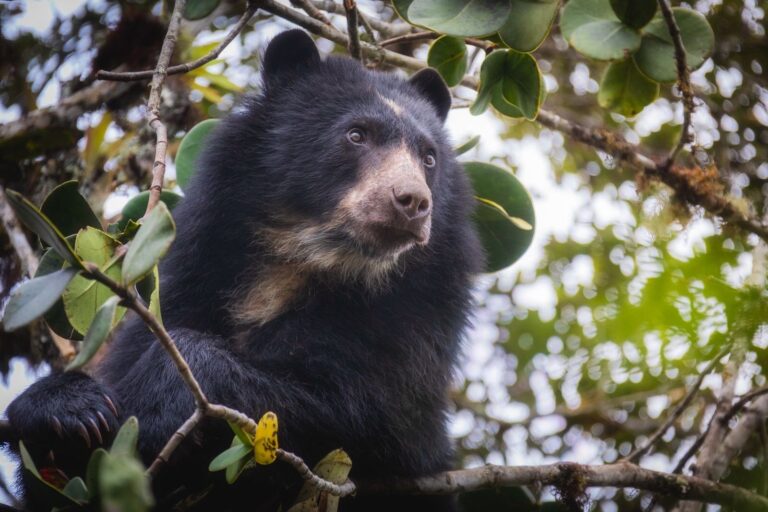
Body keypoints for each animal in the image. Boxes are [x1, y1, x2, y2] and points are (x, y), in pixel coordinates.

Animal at [6, 29, 483, 511]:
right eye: (356, 134)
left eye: (428, 158)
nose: (412, 202)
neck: (305, 262)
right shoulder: (193, 278)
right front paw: (72, 410)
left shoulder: (410, 327)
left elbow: (368, 413)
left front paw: (159, 405)